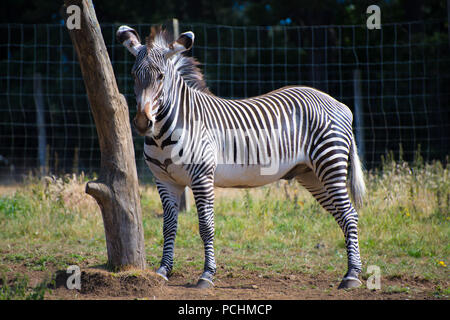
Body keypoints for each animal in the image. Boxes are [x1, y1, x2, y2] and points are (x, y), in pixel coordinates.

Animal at [116, 25, 366, 290]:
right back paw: (351, 270)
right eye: (133, 75)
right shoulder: (165, 181)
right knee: (342, 215)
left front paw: (207, 274)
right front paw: (164, 270)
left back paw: (352, 275)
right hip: (312, 175)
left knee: (349, 215)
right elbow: (169, 226)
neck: (164, 134)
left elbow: (206, 226)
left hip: (330, 164)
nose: (142, 122)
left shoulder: (202, 177)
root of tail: (339, 104)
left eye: (161, 77)